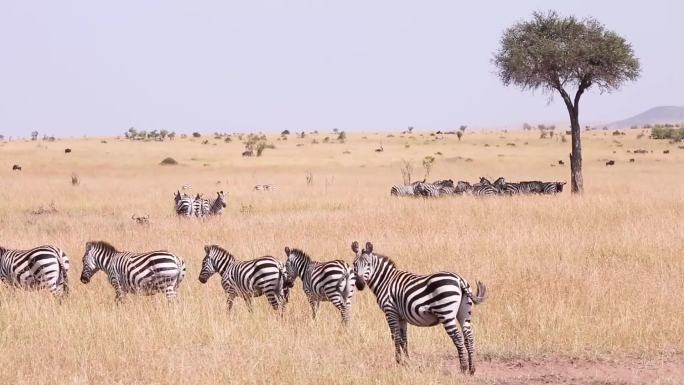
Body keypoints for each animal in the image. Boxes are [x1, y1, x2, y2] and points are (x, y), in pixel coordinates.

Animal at [352, 242, 486, 374]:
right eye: (354, 265)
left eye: (368, 264)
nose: (359, 284)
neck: (385, 281)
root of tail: (459, 280)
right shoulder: (401, 316)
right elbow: (404, 339)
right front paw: (407, 362)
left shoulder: (390, 311)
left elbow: (395, 337)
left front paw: (398, 361)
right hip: (464, 313)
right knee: (469, 337)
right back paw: (472, 369)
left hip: (446, 312)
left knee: (458, 338)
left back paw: (463, 368)